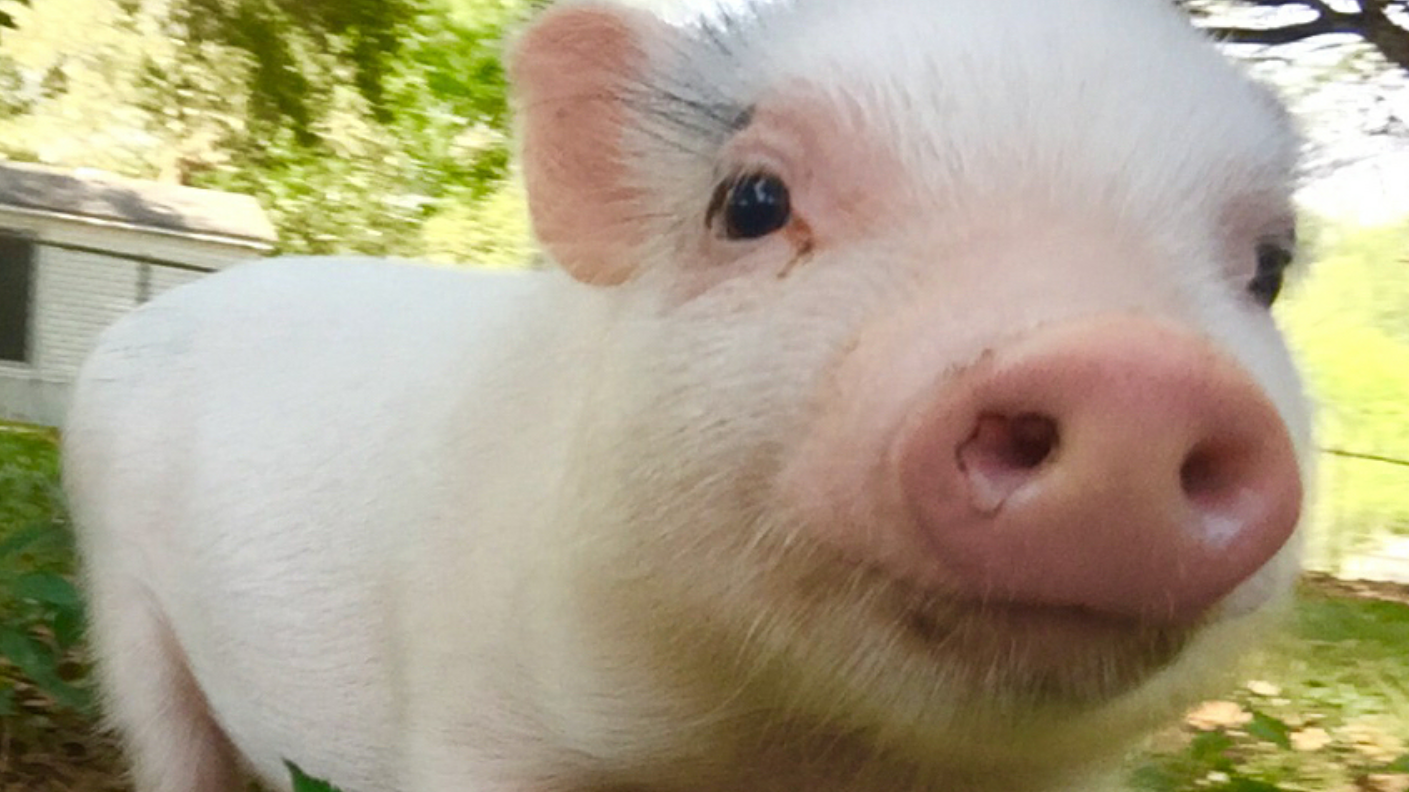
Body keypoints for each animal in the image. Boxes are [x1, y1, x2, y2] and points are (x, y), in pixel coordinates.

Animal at [62, 0, 1312, 790]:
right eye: (750, 202)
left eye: (1266, 269)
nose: (1132, 368)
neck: (796, 760)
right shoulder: (476, 723)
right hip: (118, 591)